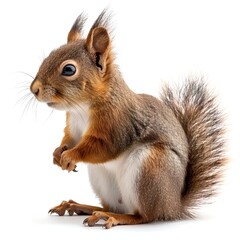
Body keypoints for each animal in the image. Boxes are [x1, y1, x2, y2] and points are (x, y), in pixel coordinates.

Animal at [29, 10, 226, 230]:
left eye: (69, 70)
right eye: (48, 57)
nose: (34, 89)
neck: (81, 108)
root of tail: (174, 206)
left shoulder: (118, 124)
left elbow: (102, 147)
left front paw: (71, 155)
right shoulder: (73, 126)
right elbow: (70, 139)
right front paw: (58, 153)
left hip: (151, 169)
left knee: (144, 216)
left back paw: (109, 217)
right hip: (102, 178)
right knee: (112, 206)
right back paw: (80, 206)